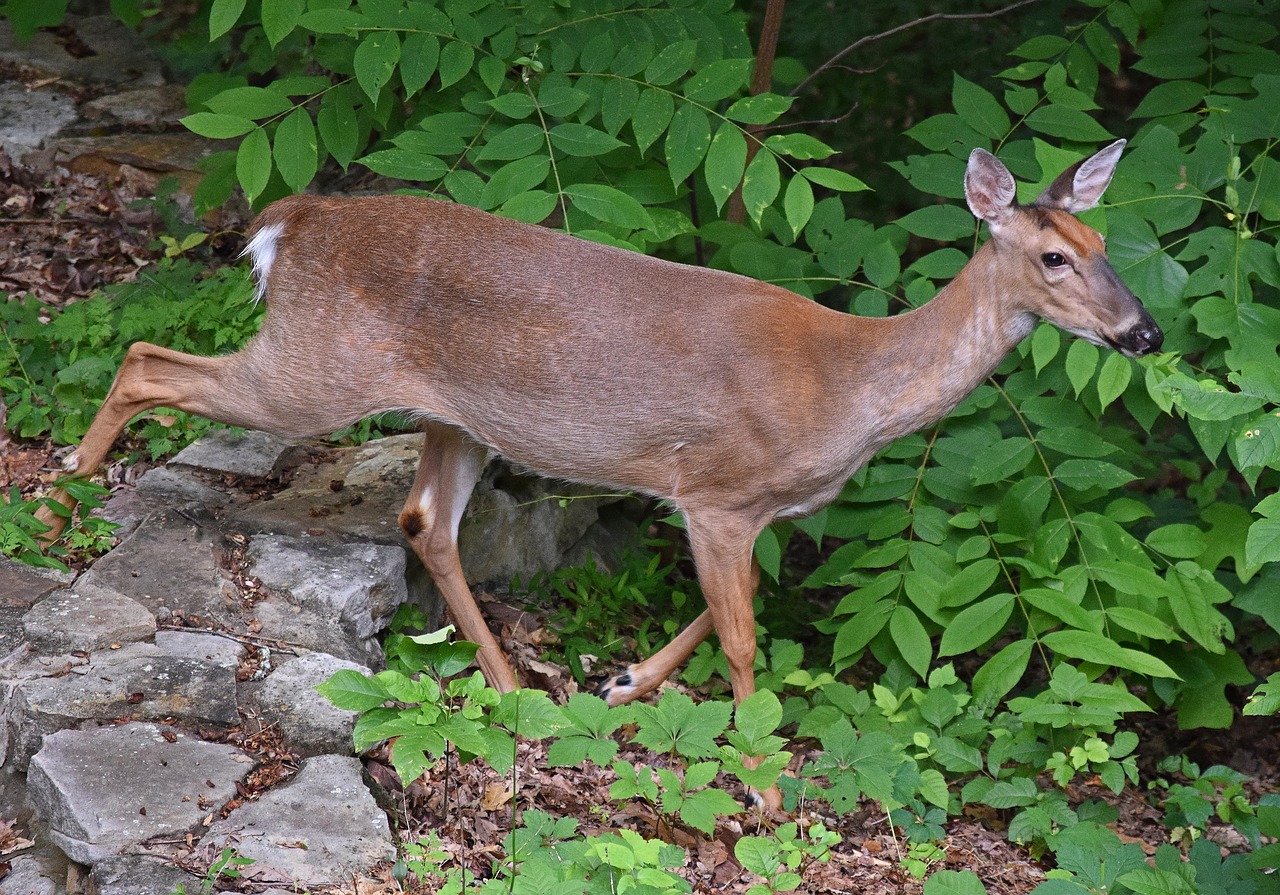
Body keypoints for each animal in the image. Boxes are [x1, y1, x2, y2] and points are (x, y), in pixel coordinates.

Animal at [40, 141, 1162, 814]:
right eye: (1053, 257)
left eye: (1105, 240)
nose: (1143, 332)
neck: (846, 390)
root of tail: (292, 224)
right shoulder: (714, 493)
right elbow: (747, 640)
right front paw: (761, 785)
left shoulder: (760, 509)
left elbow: (726, 612)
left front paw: (624, 681)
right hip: (313, 372)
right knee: (146, 354)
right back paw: (69, 474)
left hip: (453, 413)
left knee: (422, 519)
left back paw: (508, 686)